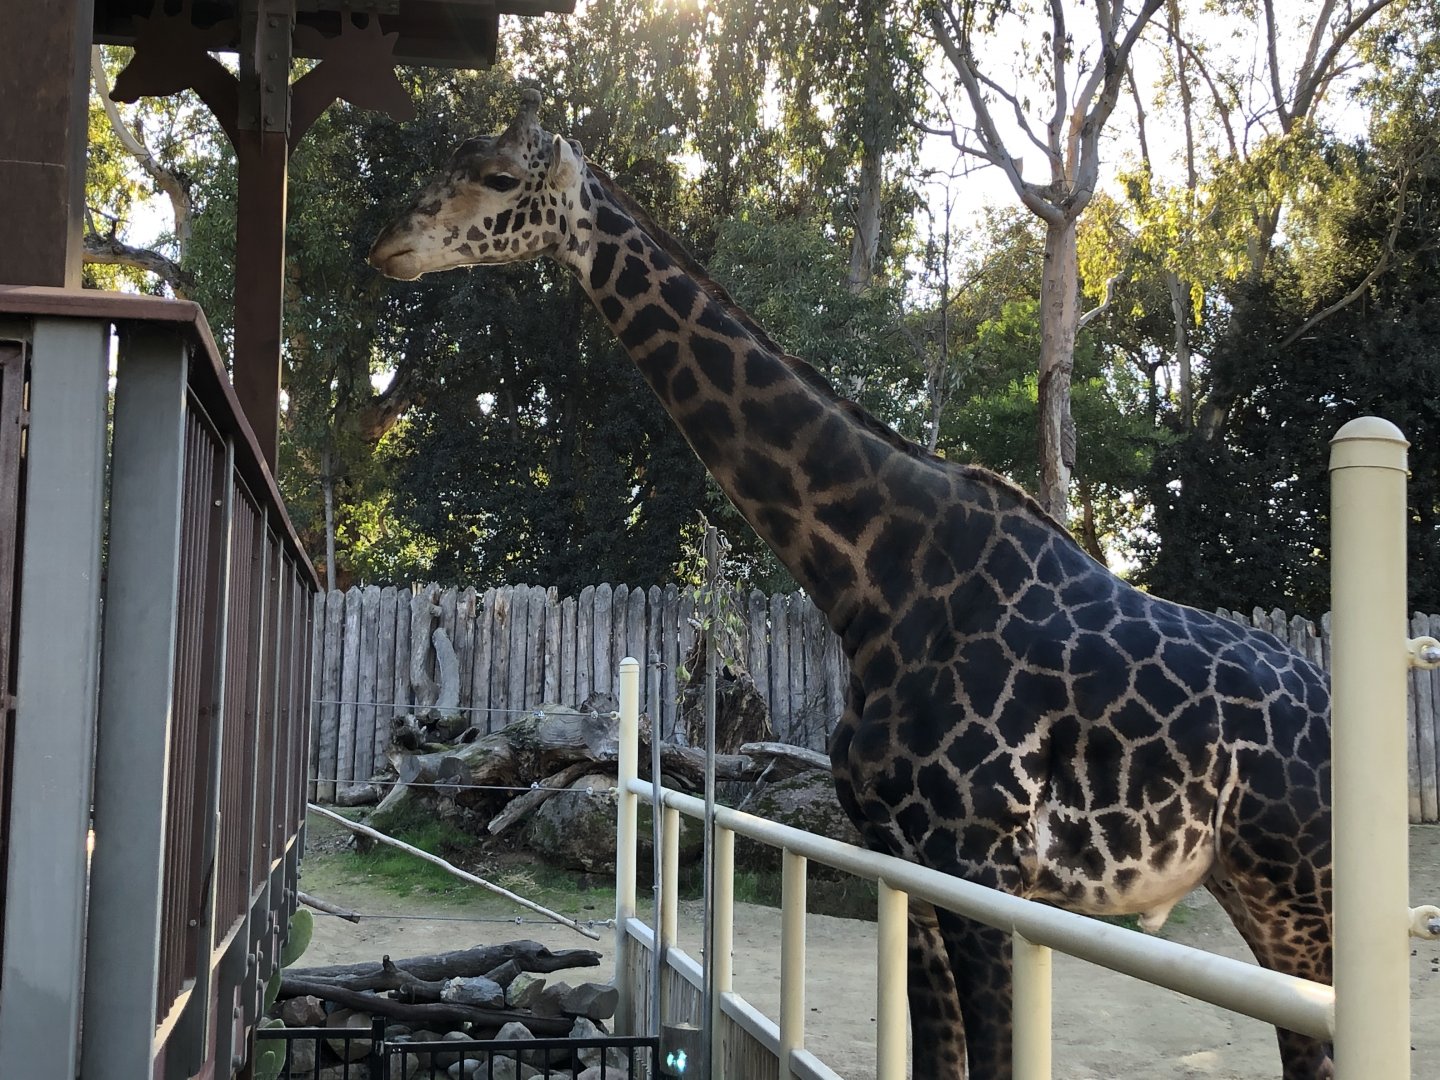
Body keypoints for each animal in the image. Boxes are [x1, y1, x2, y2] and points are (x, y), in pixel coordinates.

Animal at [368, 90, 1335, 1080]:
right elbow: (935, 1053)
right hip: (1252, 886)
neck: (875, 585)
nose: (388, 245)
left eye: (496, 176)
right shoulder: (900, 856)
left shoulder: (981, 863)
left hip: (1302, 885)